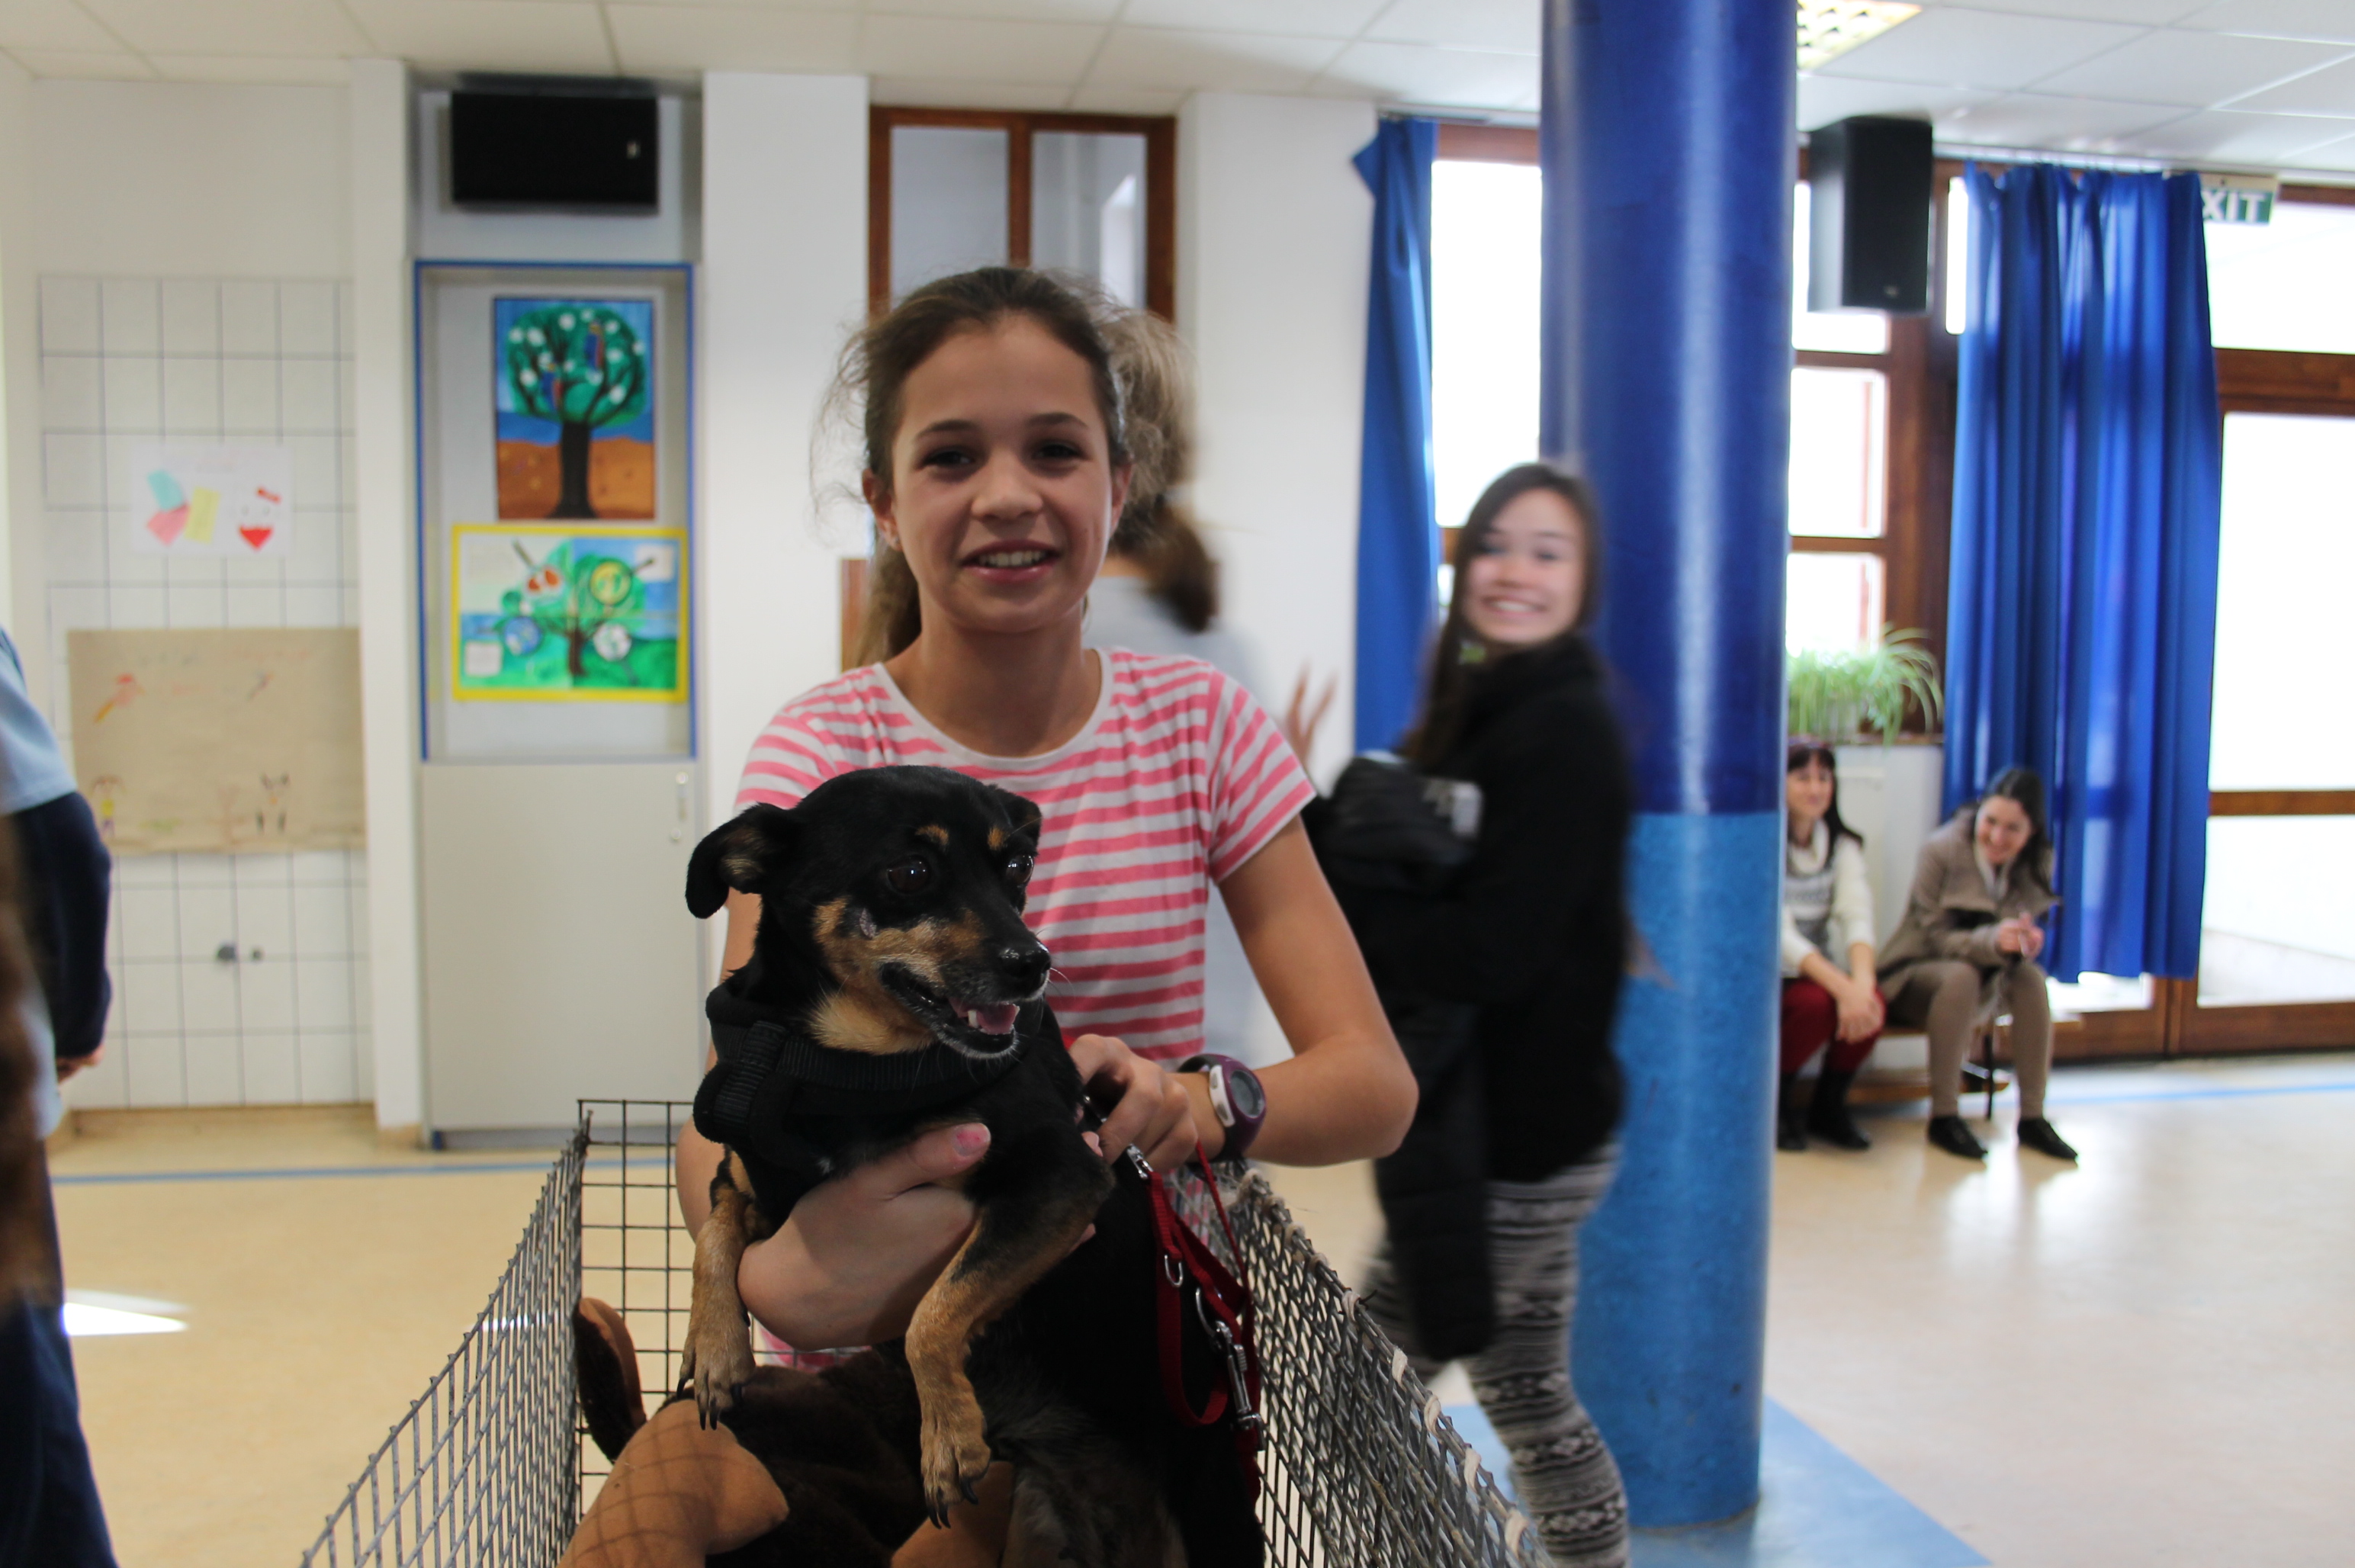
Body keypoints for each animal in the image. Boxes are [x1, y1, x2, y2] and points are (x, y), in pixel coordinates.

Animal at [677, 765, 1262, 1568]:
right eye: (911, 873)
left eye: (1017, 867)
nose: (1034, 963)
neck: (852, 1065)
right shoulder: (749, 1181)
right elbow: (712, 1240)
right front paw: (714, 1351)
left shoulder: (1060, 1180)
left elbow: (933, 1311)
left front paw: (948, 1438)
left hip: (1212, 1520)